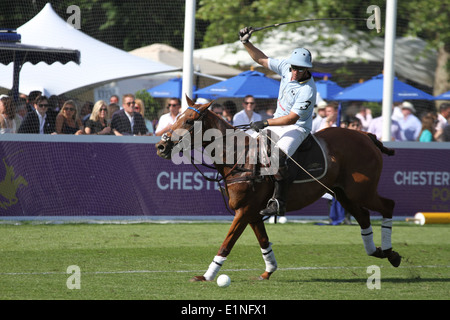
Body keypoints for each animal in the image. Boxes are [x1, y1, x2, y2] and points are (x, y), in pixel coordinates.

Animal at [156, 96, 400, 282]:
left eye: (189, 121)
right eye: (176, 117)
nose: (161, 146)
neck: (239, 156)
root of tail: (366, 135)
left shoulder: (244, 210)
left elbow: (227, 243)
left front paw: (207, 276)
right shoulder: (253, 212)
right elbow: (264, 241)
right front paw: (268, 271)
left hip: (361, 191)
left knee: (388, 205)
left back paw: (389, 251)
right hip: (344, 194)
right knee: (364, 216)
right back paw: (379, 252)